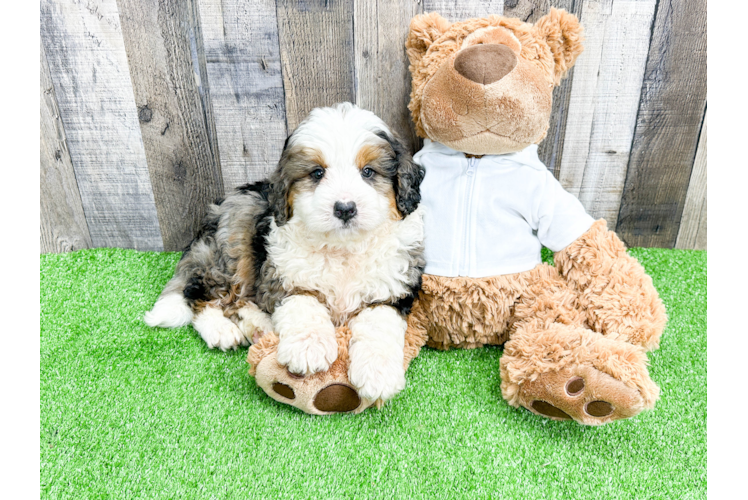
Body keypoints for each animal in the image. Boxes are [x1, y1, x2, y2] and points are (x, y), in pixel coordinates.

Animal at [145, 102, 426, 402]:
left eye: (369, 172)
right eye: (317, 173)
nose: (345, 208)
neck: (343, 248)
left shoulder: (392, 291)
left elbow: (379, 324)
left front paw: (378, 373)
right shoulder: (283, 278)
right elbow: (304, 305)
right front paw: (308, 349)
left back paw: (259, 325)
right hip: (234, 242)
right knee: (199, 291)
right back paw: (221, 330)